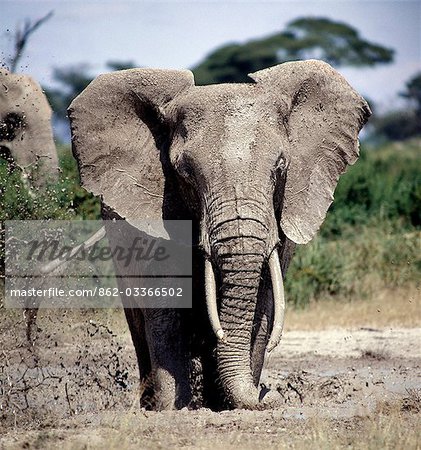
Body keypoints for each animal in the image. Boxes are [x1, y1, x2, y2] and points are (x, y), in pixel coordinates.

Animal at [67, 59, 370, 412]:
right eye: (184, 172)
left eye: (280, 167)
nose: (273, 395)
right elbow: (165, 305)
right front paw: (173, 408)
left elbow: (264, 302)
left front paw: (231, 402)